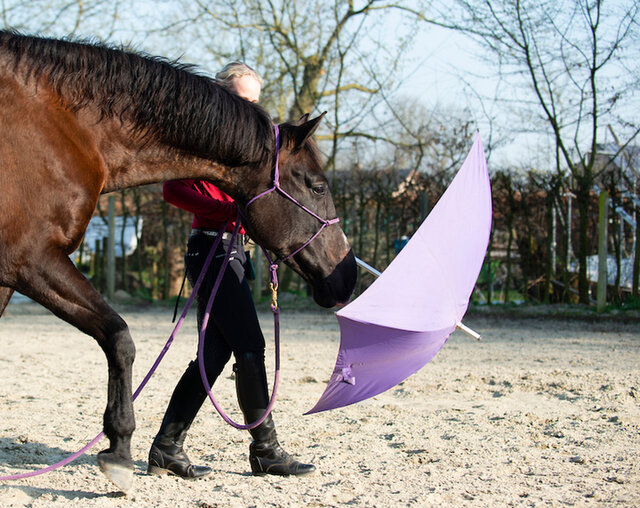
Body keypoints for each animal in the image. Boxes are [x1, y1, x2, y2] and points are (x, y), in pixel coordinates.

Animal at [0, 30, 357, 491]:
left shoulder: (10, 272)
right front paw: (119, 450)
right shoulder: (32, 259)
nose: (347, 275)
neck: (65, 128)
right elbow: (120, 337)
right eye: (316, 186)